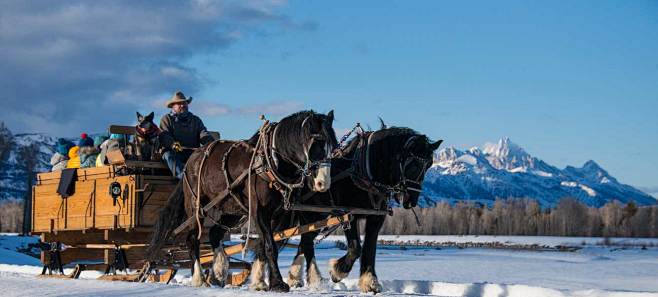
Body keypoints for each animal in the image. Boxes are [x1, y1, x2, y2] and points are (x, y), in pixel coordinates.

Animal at [147, 110, 336, 290]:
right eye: (316, 144)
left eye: (333, 146)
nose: (323, 183)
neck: (271, 161)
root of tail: (191, 159)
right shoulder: (259, 211)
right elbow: (270, 246)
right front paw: (277, 283)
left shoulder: (276, 214)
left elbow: (265, 244)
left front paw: (262, 282)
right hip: (196, 207)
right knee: (192, 239)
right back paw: (199, 278)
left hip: (232, 208)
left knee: (215, 233)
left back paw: (219, 270)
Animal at [258, 122, 438, 292]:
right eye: (413, 164)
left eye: (429, 164)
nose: (411, 200)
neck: (364, 173)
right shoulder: (347, 214)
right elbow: (355, 248)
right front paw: (338, 271)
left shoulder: (376, 217)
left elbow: (369, 248)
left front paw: (370, 282)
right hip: (309, 215)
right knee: (295, 241)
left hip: (317, 218)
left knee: (304, 241)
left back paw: (295, 277)